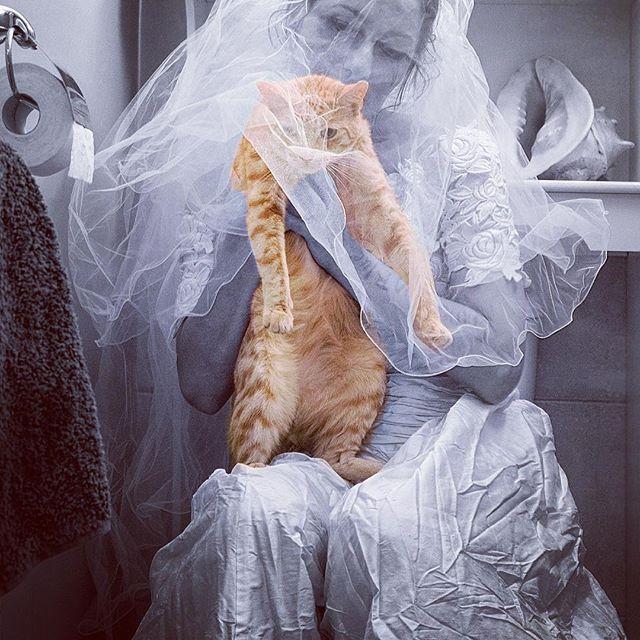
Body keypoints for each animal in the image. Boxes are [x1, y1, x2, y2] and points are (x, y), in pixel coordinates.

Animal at [228, 74, 451, 484]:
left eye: (329, 132)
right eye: (289, 131)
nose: (306, 155)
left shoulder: (386, 215)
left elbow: (419, 269)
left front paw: (432, 326)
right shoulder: (265, 201)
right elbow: (273, 258)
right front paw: (280, 312)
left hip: (366, 386)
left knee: (331, 456)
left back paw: (376, 468)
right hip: (262, 392)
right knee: (246, 461)